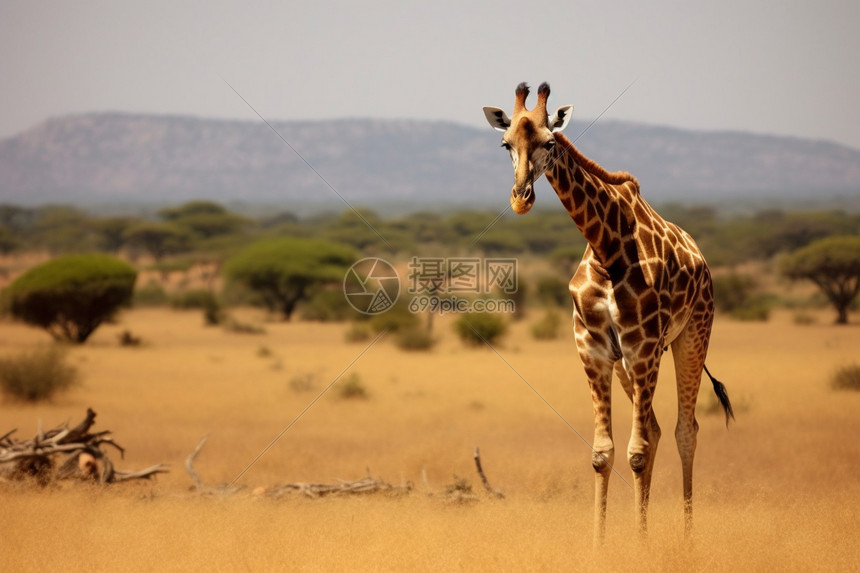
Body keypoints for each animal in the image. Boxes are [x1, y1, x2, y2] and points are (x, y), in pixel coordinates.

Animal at [484, 82, 732, 540]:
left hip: (691, 336)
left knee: (684, 430)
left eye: (549, 142)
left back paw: (687, 538)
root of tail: (703, 261)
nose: (521, 199)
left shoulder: (644, 347)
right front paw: (603, 544)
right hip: (626, 364)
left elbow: (635, 451)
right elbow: (603, 454)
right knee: (655, 429)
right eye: (505, 143)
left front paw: (640, 545)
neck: (607, 247)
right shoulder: (594, 349)